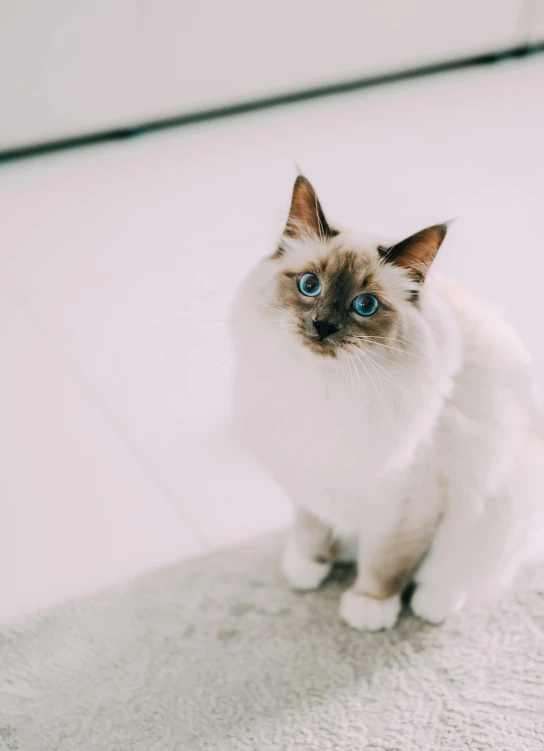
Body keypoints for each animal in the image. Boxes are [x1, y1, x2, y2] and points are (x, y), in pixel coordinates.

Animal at [231, 175, 544, 628]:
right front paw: (308, 567)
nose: (322, 326)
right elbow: (311, 525)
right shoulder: (309, 467)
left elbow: (386, 562)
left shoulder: (407, 503)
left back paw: (433, 603)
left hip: (499, 507)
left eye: (365, 305)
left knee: (460, 573)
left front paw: (370, 607)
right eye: (309, 285)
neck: (325, 390)